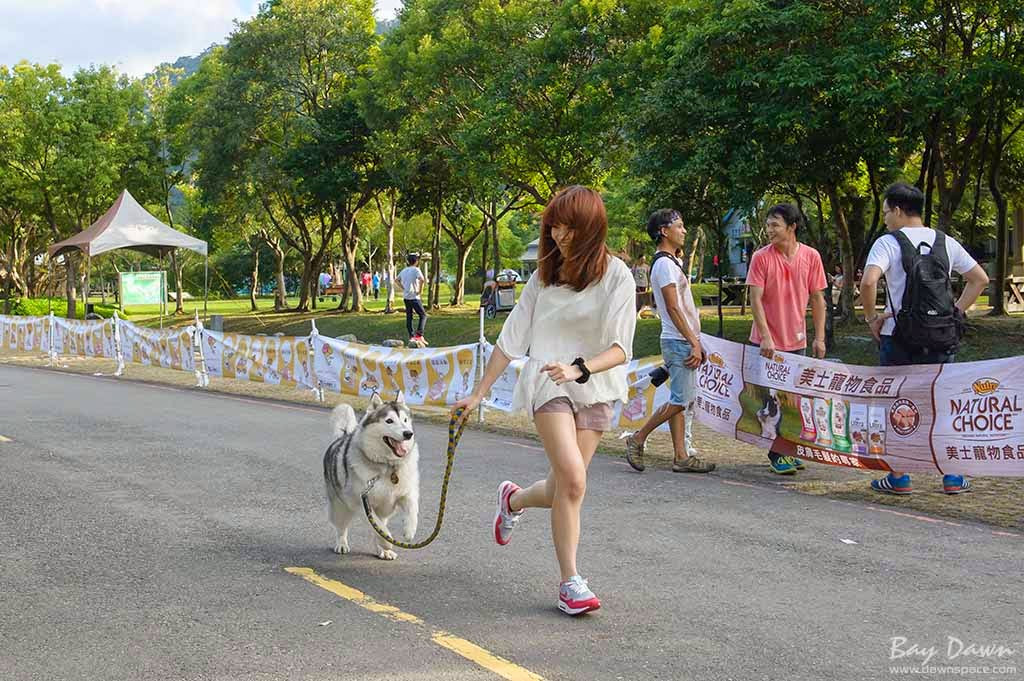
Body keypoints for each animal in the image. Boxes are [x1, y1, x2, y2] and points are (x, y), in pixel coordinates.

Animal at [319, 391, 415, 561]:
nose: (408, 434)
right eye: (389, 421)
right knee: (341, 527)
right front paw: (387, 542)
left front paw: (409, 531)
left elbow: (412, 509)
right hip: (340, 507)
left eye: (405, 420)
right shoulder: (363, 500)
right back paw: (342, 544)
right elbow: (380, 528)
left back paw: (383, 551)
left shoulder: (406, 492)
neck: (387, 465)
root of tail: (342, 436)